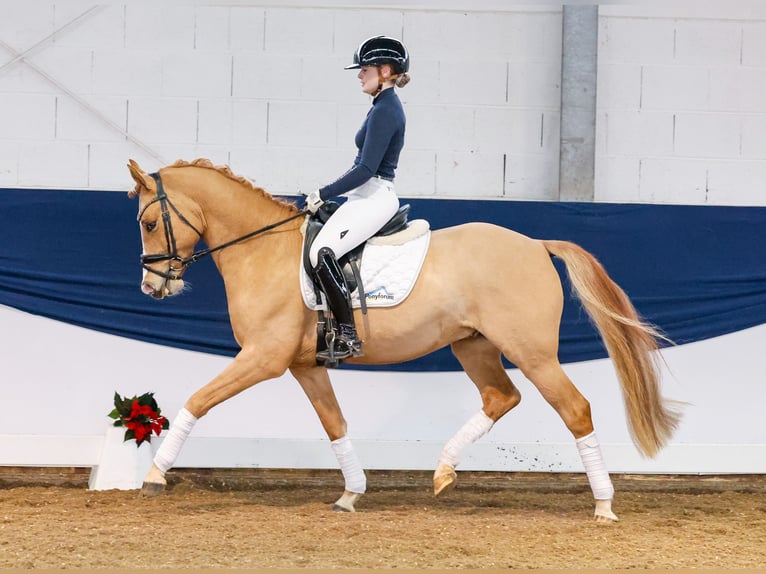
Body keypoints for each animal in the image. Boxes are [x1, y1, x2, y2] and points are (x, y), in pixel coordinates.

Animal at [127, 156, 684, 520]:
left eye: (150, 222)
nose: (153, 287)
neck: (263, 250)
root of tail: (535, 244)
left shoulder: (262, 358)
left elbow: (198, 401)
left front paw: (154, 475)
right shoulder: (304, 365)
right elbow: (334, 424)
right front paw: (351, 494)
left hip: (532, 353)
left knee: (575, 409)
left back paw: (604, 505)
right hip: (473, 344)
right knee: (501, 397)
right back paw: (442, 472)